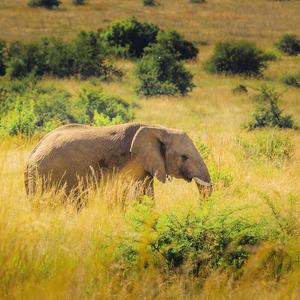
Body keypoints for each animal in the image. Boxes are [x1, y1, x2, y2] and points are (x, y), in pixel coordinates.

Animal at [24, 122, 212, 202]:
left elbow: (147, 194)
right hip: (43, 177)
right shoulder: (128, 162)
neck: (158, 128)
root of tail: (32, 153)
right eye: (184, 157)